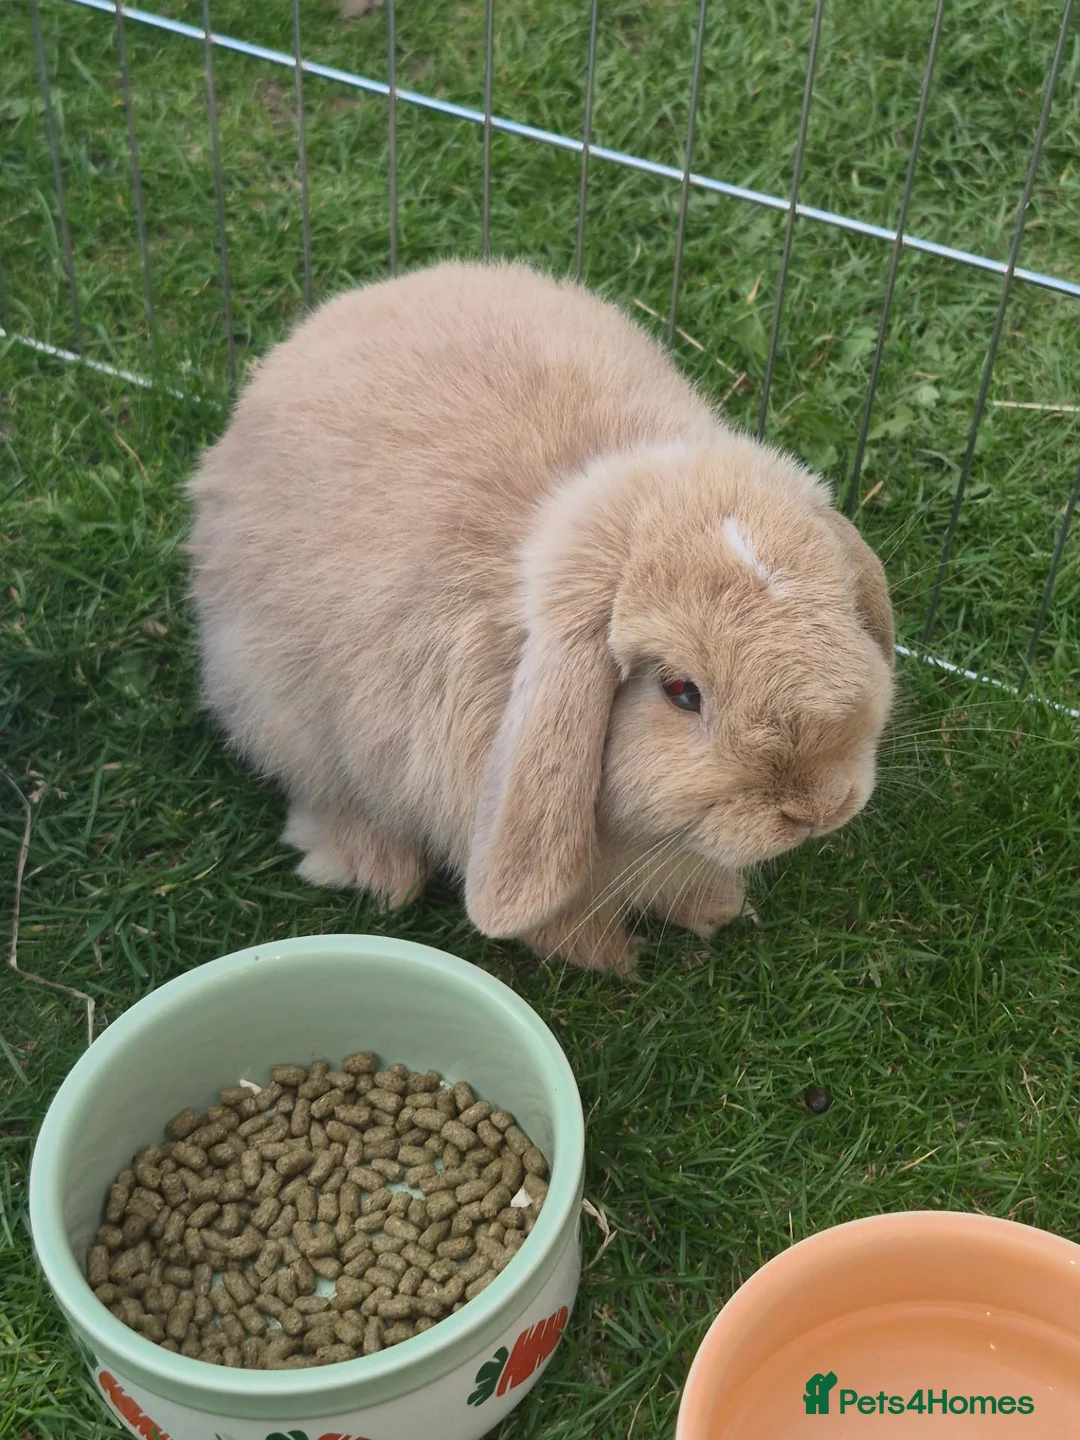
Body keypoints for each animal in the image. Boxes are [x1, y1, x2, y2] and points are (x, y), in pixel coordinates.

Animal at [187, 259, 895, 974]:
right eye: (681, 692)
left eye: (846, 614)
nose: (818, 808)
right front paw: (609, 957)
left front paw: (719, 908)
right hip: (278, 709)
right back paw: (381, 873)